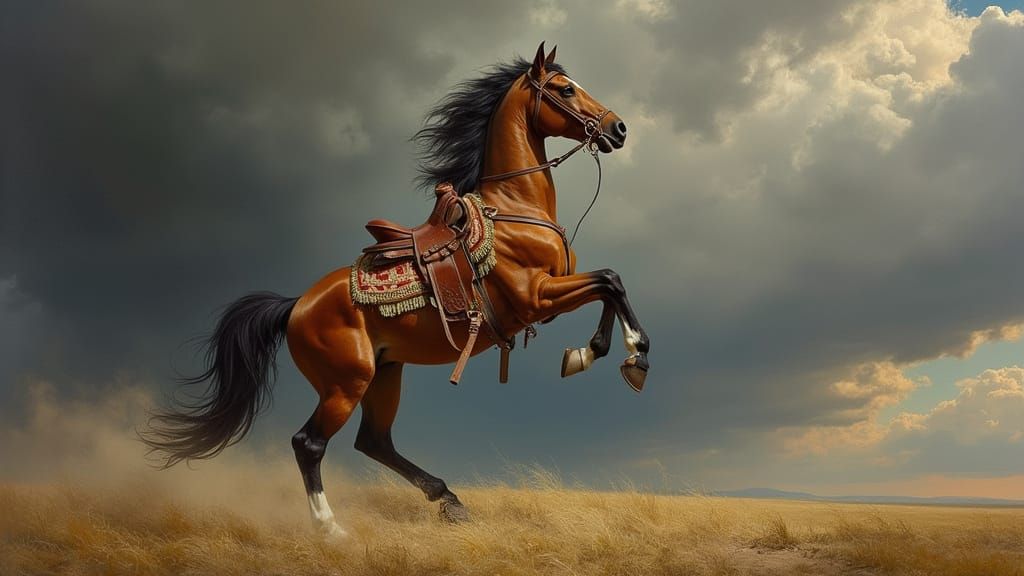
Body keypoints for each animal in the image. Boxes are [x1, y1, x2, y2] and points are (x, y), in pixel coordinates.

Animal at [143, 43, 650, 537]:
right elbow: (610, 280)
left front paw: (590, 354)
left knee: (374, 441)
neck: (515, 210)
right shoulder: (536, 297)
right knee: (309, 443)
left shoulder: (550, 295)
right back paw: (332, 529)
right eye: (565, 90)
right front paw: (632, 355)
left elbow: (609, 286)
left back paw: (449, 501)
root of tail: (296, 307)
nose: (619, 128)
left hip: (385, 374)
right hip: (345, 383)